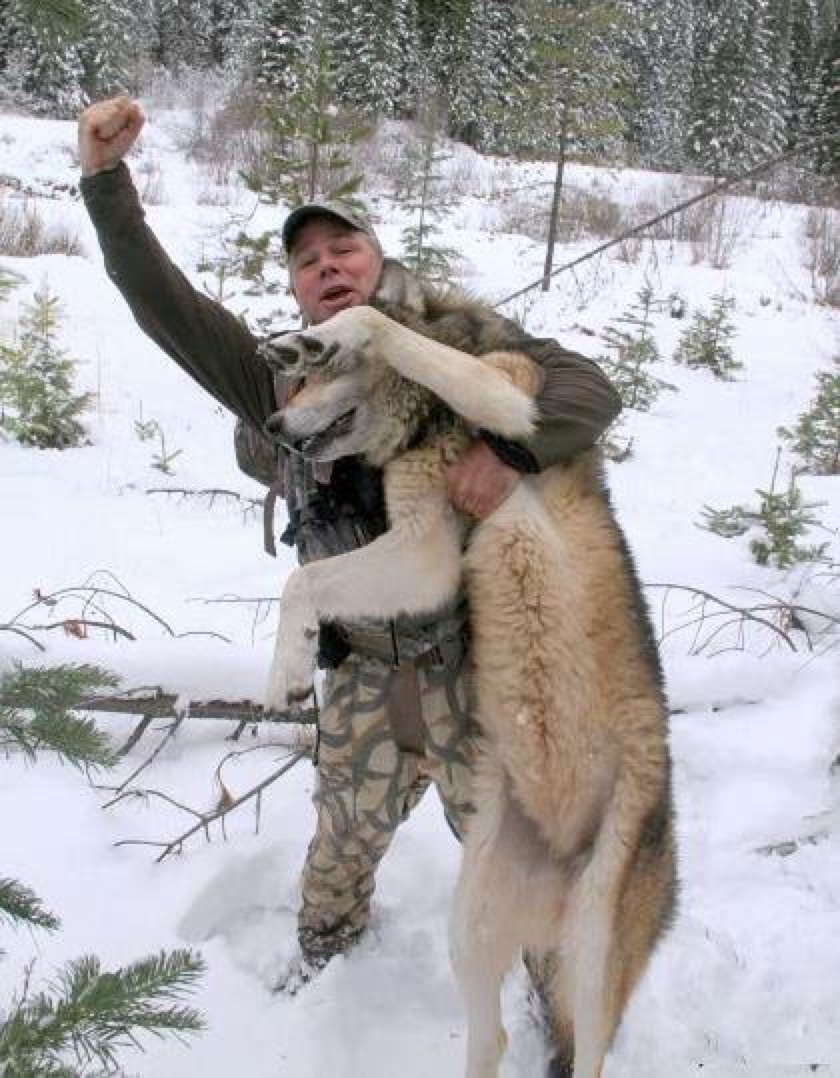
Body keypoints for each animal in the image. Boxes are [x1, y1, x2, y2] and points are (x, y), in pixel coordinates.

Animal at [260, 270, 677, 1078]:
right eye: (291, 388)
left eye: (313, 379)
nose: (270, 422)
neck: (432, 423)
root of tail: (556, 888)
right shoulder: (423, 550)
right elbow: (306, 581)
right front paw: (287, 670)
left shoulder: (505, 403)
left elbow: (381, 327)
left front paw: (328, 334)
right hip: (473, 923)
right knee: (496, 1039)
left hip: (596, 955)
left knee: (585, 1051)